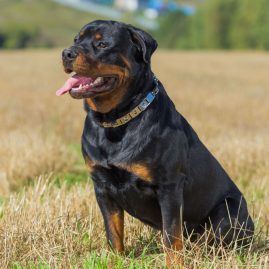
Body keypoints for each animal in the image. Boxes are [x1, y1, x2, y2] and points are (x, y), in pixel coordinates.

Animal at [56, 19, 253, 266]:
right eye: (76, 39)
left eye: (102, 44)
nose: (66, 53)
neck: (116, 121)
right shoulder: (102, 186)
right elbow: (113, 233)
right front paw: (115, 261)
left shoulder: (169, 187)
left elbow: (171, 236)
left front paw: (175, 265)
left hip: (228, 212)